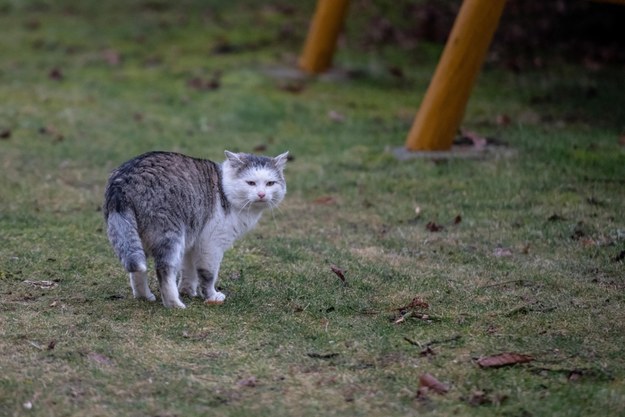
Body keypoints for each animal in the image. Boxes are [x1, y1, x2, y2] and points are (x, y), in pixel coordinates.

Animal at [102, 149, 288, 306]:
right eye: (250, 183)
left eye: (270, 183)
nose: (261, 194)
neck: (224, 189)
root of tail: (123, 181)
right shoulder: (211, 245)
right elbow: (208, 275)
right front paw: (211, 296)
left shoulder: (192, 242)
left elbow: (188, 271)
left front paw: (187, 291)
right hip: (171, 236)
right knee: (163, 270)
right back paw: (175, 304)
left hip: (138, 240)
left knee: (136, 272)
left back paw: (145, 296)